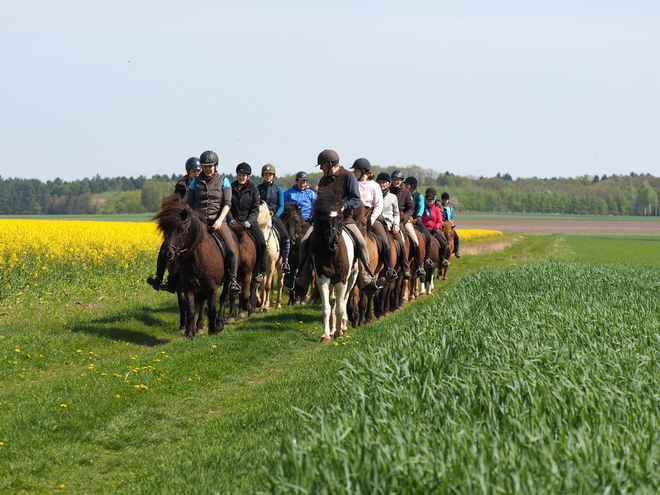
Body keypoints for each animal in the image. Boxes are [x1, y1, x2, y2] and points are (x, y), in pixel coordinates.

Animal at [152, 196, 227, 340]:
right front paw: (189, 333)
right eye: (164, 229)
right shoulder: (187, 286)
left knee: (223, 298)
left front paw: (212, 331)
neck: (196, 258)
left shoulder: (212, 286)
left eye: (181, 228)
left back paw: (218, 325)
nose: (167, 253)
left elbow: (211, 310)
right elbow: (190, 309)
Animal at [310, 188, 358, 342]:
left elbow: (340, 308)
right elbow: (326, 308)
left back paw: (343, 327)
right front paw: (326, 335)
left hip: (351, 278)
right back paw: (332, 330)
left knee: (344, 299)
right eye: (323, 219)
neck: (332, 255)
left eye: (341, 217)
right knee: (332, 301)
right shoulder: (323, 280)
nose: (333, 241)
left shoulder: (341, 280)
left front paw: (338, 332)